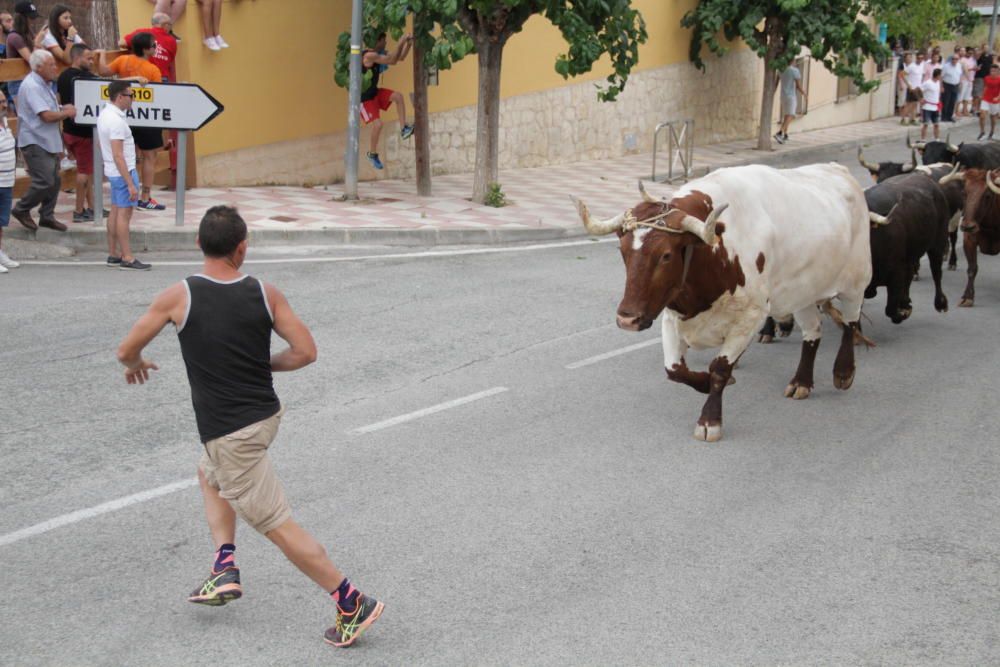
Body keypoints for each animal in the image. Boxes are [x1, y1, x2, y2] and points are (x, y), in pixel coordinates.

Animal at [576, 163, 872, 444]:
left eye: (666, 255)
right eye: (622, 250)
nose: (627, 319)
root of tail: (838, 170)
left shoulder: (751, 317)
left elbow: (719, 367)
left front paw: (710, 420)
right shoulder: (672, 317)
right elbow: (675, 369)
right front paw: (705, 383)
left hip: (856, 281)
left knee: (850, 323)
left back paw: (844, 372)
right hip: (802, 293)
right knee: (812, 332)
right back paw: (801, 381)